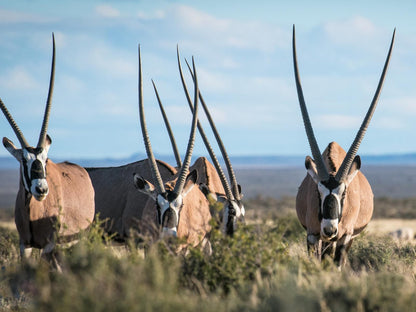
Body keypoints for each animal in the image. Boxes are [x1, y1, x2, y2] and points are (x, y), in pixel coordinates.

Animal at [0, 34, 94, 268]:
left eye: (45, 159)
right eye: (23, 160)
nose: (41, 189)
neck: (32, 211)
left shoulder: (49, 246)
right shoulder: (25, 245)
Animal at [292, 26, 394, 266]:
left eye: (344, 193)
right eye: (318, 191)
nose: (330, 229)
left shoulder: (345, 237)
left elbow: (336, 264)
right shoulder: (312, 235)